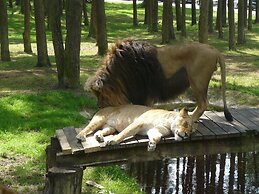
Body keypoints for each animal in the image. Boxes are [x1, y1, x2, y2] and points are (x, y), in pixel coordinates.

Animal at [86, 39, 235, 123]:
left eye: (100, 95)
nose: (99, 106)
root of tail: (214, 50)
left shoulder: (144, 94)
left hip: (197, 80)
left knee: (204, 103)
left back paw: (192, 118)